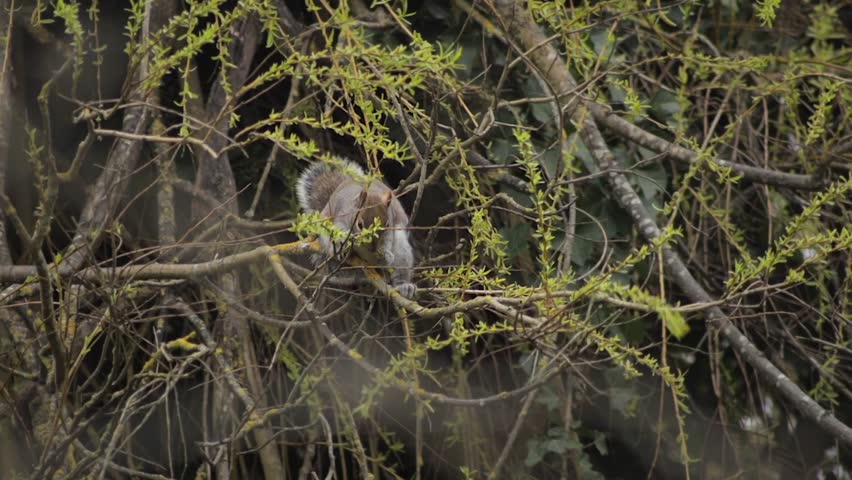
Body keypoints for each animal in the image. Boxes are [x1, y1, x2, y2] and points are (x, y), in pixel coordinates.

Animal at [296, 159, 416, 298]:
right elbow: (339, 230)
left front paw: (385, 254)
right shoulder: (342, 216)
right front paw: (340, 244)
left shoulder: (391, 223)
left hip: (401, 249)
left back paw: (404, 286)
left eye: (386, 224)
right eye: (359, 225)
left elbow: (388, 239)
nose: (373, 248)